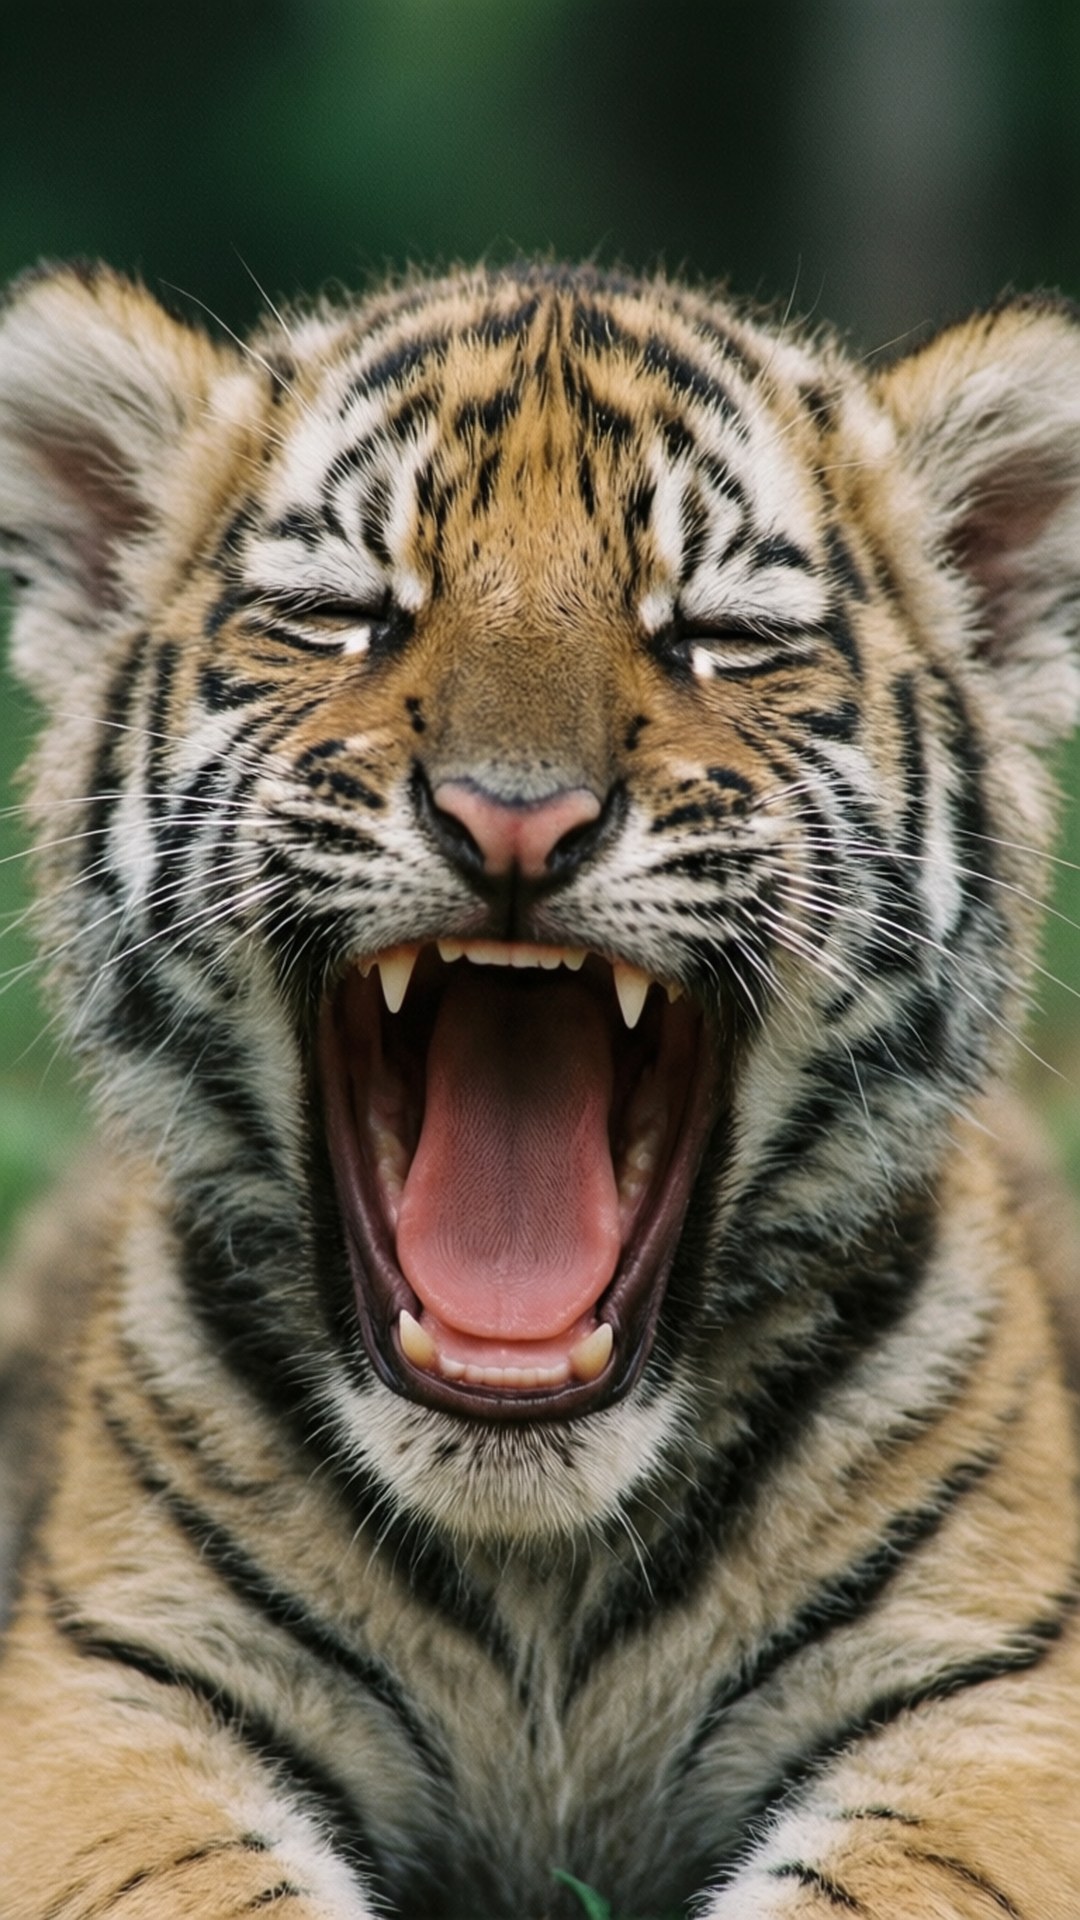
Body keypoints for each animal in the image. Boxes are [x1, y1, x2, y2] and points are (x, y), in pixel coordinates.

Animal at [0, 256, 1079, 1920]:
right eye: (344, 618)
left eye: (721, 638)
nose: (514, 819)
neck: (538, 1569)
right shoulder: (108, 1695)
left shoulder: (1002, 1707)